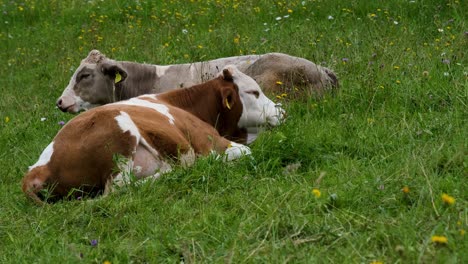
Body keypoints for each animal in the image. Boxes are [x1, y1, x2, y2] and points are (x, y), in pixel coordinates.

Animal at [22, 65, 284, 204]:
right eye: (254, 92)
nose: (282, 111)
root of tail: (37, 169)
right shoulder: (212, 143)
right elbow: (246, 152)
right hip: (120, 140)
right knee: (118, 189)